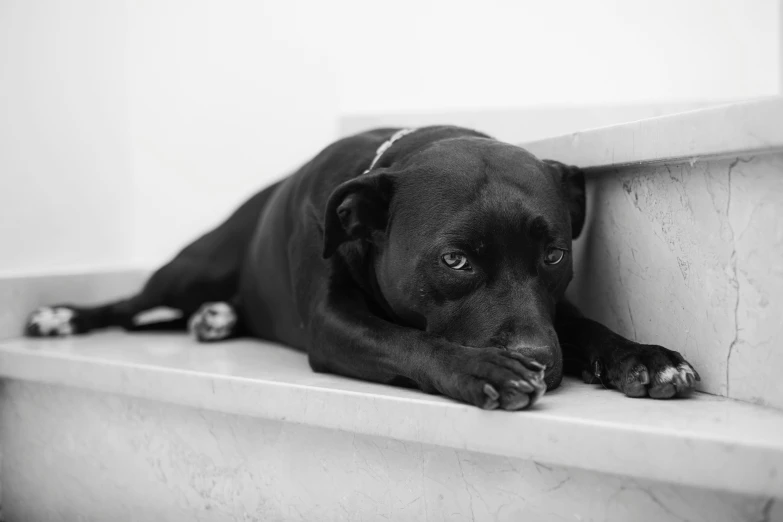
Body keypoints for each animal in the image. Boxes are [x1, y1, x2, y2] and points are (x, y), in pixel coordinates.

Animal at [26, 127, 700, 410]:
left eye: (555, 256)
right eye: (455, 260)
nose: (537, 360)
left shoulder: (553, 309)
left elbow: (584, 326)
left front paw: (644, 357)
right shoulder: (332, 324)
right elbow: (406, 341)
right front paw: (483, 369)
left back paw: (216, 319)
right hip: (191, 267)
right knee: (130, 304)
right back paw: (59, 315)